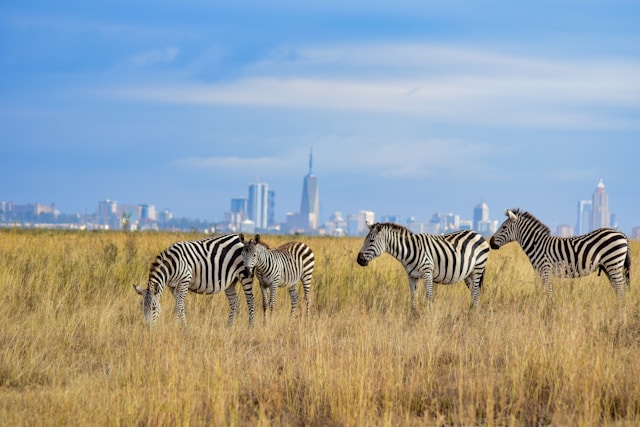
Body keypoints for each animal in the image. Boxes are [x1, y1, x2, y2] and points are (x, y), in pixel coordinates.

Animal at [356, 224, 490, 310]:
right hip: (468, 274)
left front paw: (430, 315)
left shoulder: (427, 273)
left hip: (478, 268)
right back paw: (471, 312)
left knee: (476, 292)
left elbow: (429, 297)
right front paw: (413, 316)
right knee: (473, 293)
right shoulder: (411, 276)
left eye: (372, 241)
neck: (409, 250)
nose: (359, 260)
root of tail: (477, 234)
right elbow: (413, 296)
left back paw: (474, 314)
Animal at [490, 209, 632, 300]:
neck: (537, 245)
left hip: (613, 263)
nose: (491, 242)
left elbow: (548, 293)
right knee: (619, 287)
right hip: (609, 266)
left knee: (621, 288)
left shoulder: (545, 270)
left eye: (503, 227)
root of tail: (623, 235)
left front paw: (548, 311)